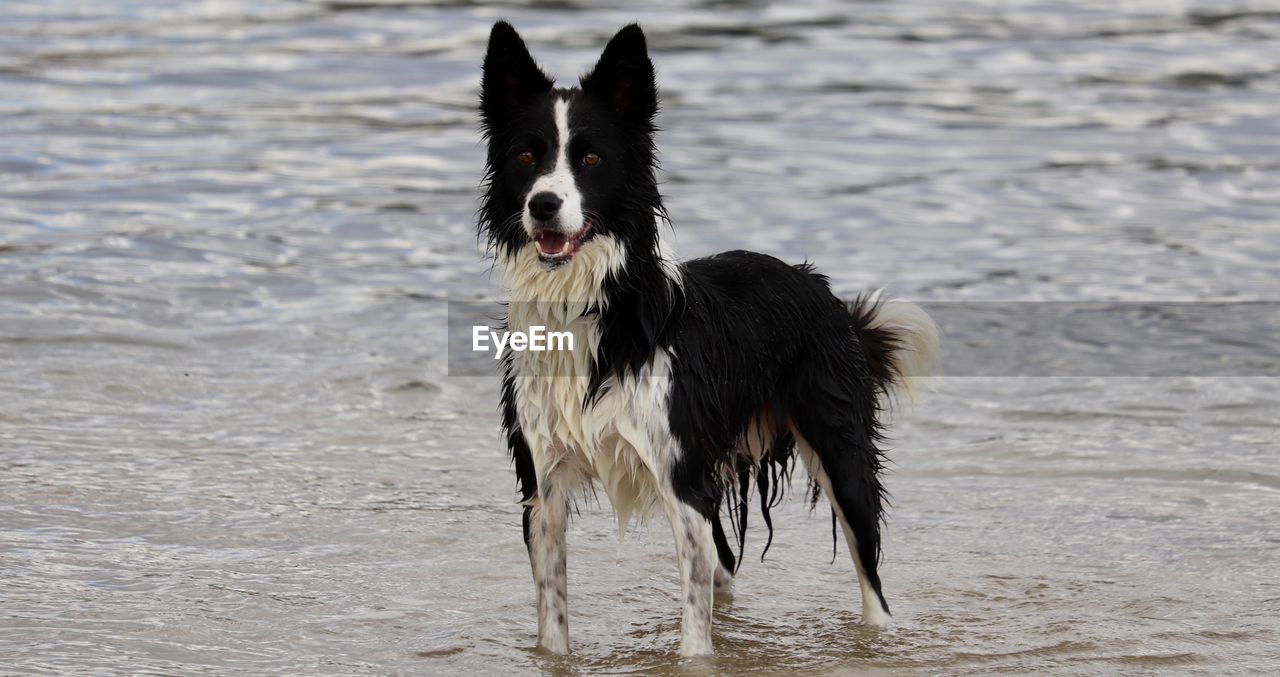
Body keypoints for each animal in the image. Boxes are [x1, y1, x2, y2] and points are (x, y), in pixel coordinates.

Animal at [481, 22, 942, 655]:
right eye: (526, 155)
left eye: (591, 158)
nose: (543, 205)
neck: (592, 308)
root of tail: (819, 287)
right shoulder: (542, 488)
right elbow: (553, 619)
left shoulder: (681, 479)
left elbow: (694, 631)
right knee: (723, 566)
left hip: (838, 448)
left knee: (869, 575)